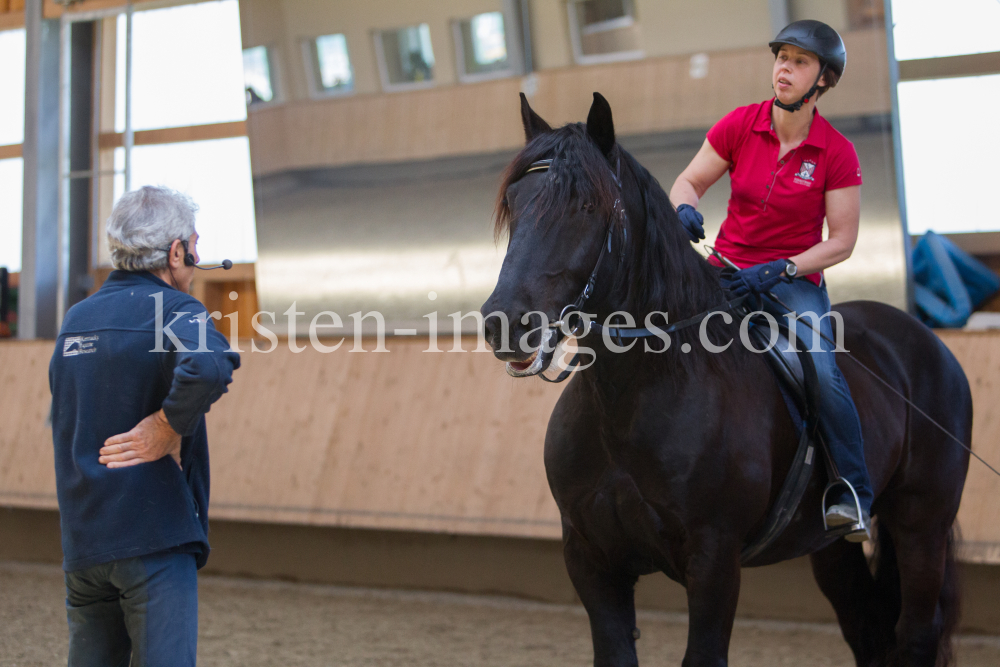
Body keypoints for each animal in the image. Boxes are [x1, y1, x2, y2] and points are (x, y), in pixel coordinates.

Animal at [480, 91, 972, 664]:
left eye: (586, 207)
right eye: (514, 204)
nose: (506, 324)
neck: (631, 398)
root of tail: (926, 342)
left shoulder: (714, 561)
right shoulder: (591, 561)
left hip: (921, 524)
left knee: (917, 629)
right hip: (829, 548)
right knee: (867, 627)